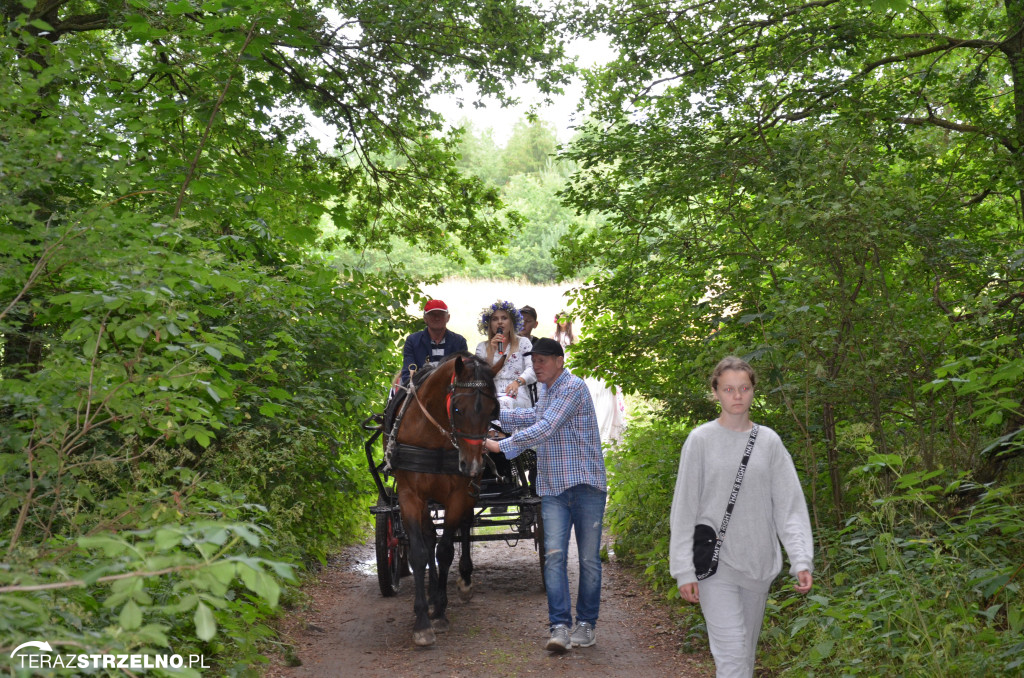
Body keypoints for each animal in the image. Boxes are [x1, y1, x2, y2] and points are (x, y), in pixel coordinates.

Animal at [389, 352, 497, 651]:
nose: (472, 465)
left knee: (464, 527)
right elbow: (420, 552)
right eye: (457, 409)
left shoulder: (459, 494)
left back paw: (463, 581)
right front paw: (422, 621)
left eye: (492, 411)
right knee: (428, 538)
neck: (433, 435)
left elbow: (446, 550)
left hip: (468, 492)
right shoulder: (410, 496)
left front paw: (439, 612)